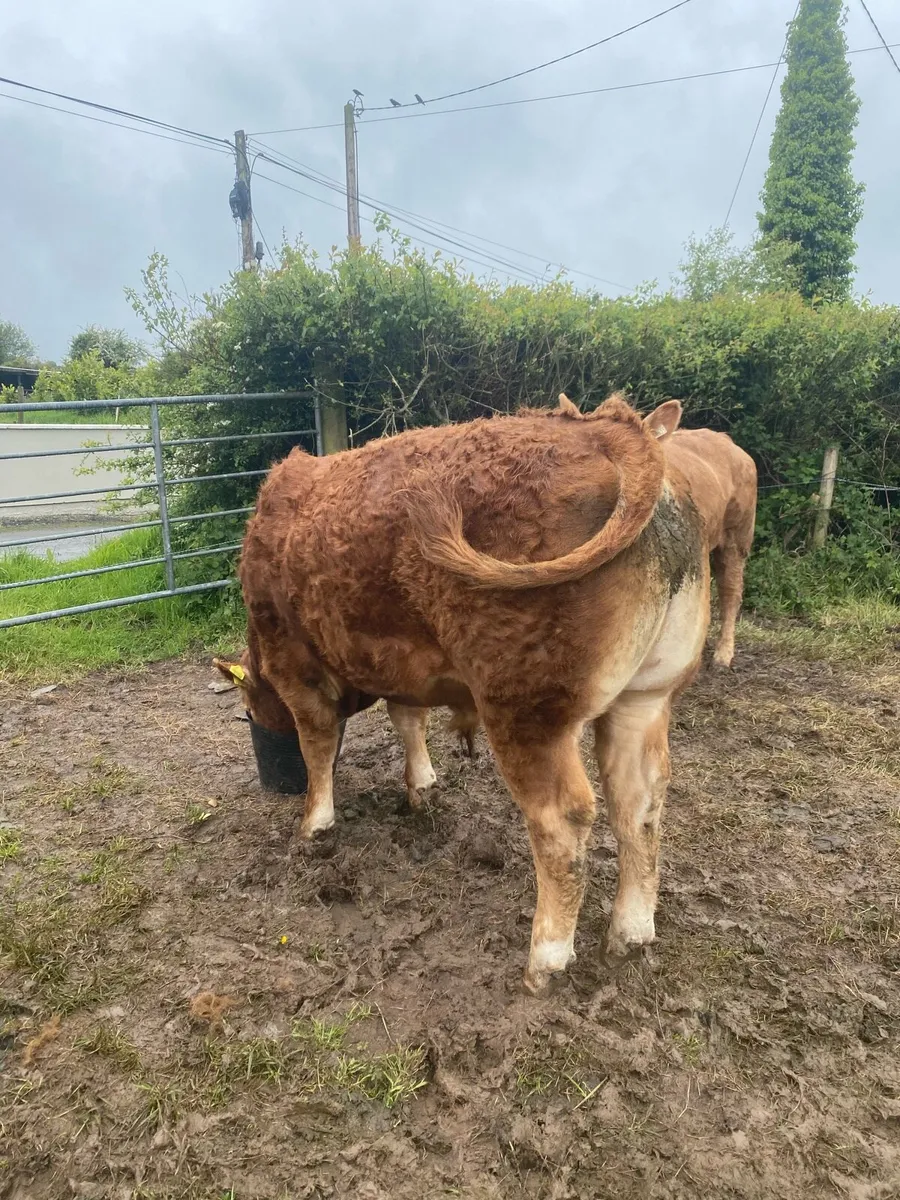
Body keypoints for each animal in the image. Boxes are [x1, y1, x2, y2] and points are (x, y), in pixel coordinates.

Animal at [216, 392, 709, 992]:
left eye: (248, 706)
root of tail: (607, 430)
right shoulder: (401, 663)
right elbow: (408, 719)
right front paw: (422, 786)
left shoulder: (295, 666)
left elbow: (316, 748)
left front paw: (314, 823)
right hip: (645, 699)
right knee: (639, 804)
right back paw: (632, 931)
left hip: (524, 710)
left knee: (563, 820)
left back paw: (546, 957)